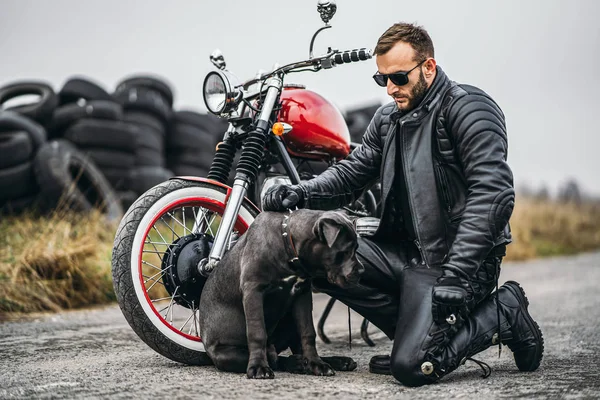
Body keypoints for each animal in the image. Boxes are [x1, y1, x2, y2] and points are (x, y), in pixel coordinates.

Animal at [199, 209, 364, 378]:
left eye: (356, 248)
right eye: (344, 251)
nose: (361, 271)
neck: (287, 247)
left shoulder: (302, 293)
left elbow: (308, 332)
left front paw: (317, 364)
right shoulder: (253, 290)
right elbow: (257, 332)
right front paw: (258, 367)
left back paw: (333, 361)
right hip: (227, 354)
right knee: (274, 358)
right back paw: (296, 363)